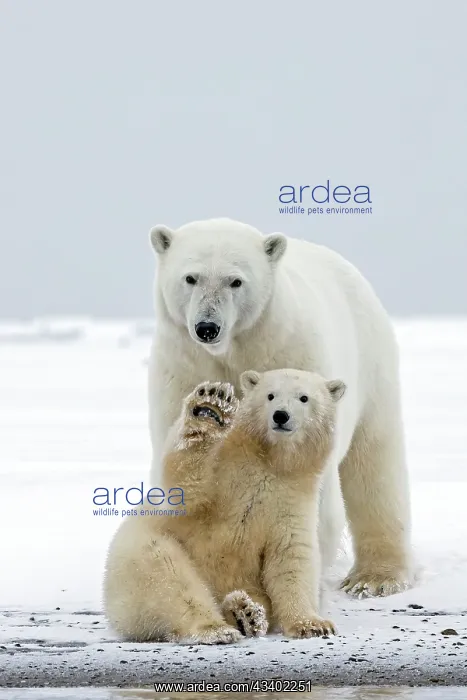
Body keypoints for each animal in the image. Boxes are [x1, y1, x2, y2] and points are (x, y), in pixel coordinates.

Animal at [104, 368, 346, 643]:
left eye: (304, 398)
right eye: (270, 395)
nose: (280, 415)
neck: (270, 461)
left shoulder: (293, 498)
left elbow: (291, 557)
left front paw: (313, 625)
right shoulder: (223, 470)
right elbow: (184, 488)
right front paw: (210, 406)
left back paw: (246, 614)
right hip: (138, 557)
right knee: (169, 576)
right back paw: (216, 627)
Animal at [147, 218, 413, 598]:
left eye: (235, 280)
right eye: (191, 277)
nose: (207, 327)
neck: (234, 352)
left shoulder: (295, 357)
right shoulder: (182, 370)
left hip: (373, 367)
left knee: (374, 464)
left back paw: (375, 577)